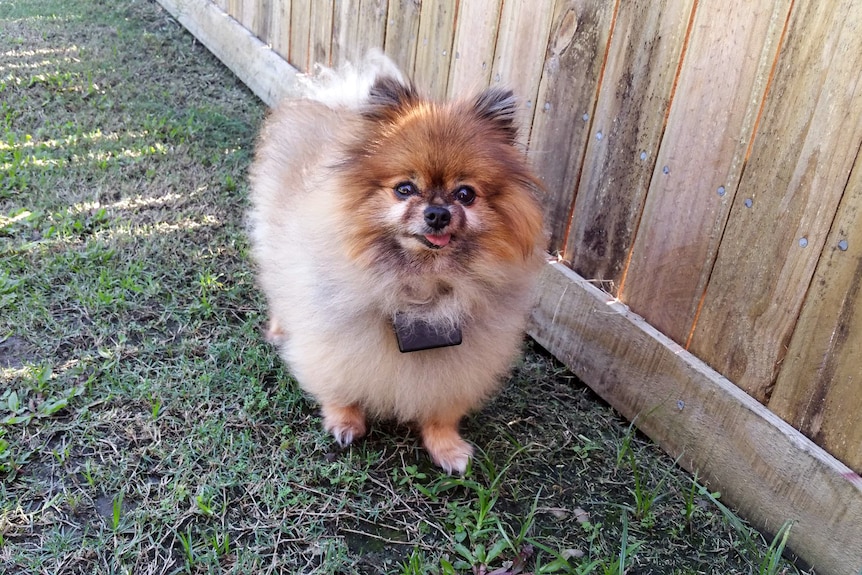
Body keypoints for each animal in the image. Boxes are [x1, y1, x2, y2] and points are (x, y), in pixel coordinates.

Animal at [250, 54, 544, 474]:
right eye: (404, 189)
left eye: (466, 194)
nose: (437, 213)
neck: (421, 285)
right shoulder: (333, 335)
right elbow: (337, 381)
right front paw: (344, 421)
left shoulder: (462, 358)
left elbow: (442, 407)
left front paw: (446, 446)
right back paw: (277, 329)